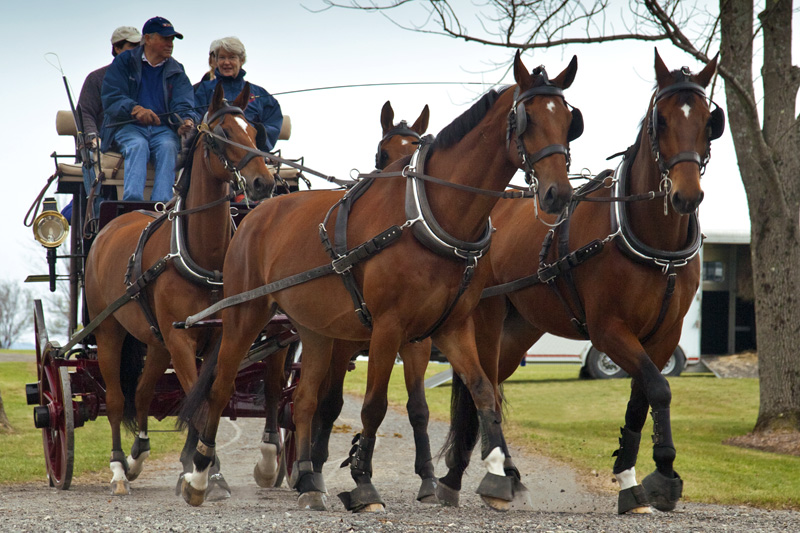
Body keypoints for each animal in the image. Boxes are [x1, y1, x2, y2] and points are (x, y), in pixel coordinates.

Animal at [83, 82, 274, 494]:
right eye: (223, 133)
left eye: (254, 133)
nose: (263, 182)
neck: (202, 254)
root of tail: (107, 228)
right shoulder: (181, 340)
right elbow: (196, 401)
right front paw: (206, 473)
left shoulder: (216, 337)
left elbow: (210, 395)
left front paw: (203, 467)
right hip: (109, 331)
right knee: (118, 399)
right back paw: (118, 469)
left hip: (155, 341)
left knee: (141, 393)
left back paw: (138, 456)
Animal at [253, 100, 432, 490]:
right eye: (382, 154)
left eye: (416, 147)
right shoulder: (341, 344)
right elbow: (330, 403)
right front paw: (317, 465)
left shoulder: (411, 339)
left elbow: (416, 407)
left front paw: (427, 476)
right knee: (279, 388)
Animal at [438, 48, 724, 512]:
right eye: (661, 120)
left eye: (708, 121)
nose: (686, 196)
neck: (651, 242)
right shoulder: (609, 330)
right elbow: (659, 388)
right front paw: (663, 475)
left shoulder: (665, 334)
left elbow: (643, 398)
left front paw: (632, 480)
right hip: (484, 317)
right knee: (479, 383)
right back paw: (464, 476)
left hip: (521, 326)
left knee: (493, 382)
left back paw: (499, 474)